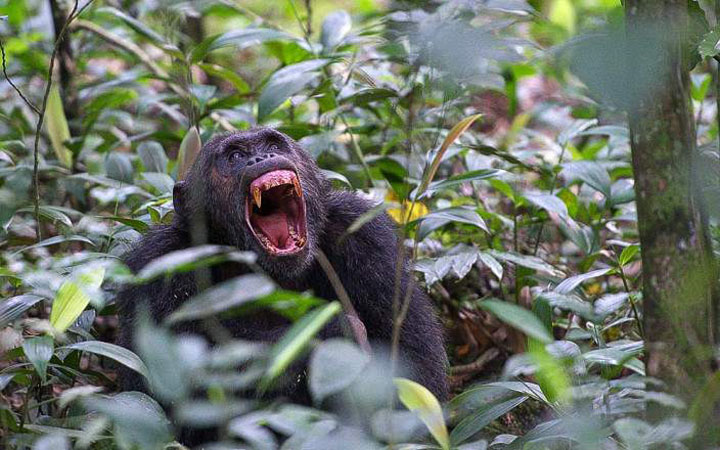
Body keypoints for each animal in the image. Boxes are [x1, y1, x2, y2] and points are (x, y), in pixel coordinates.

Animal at [115, 127, 448, 404]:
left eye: (275, 144)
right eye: (235, 156)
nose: (262, 157)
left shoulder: (367, 238)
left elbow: (415, 364)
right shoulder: (159, 266)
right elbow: (168, 387)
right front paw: (335, 329)